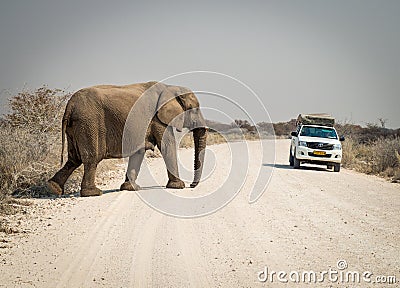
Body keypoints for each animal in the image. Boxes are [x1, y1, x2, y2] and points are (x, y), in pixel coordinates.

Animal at [47, 82, 206, 197]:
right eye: (194, 109)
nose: (192, 185)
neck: (171, 88)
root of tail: (70, 105)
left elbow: (139, 152)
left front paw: (130, 188)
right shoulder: (157, 119)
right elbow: (167, 146)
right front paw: (179, 186)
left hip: (75, 127)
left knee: (73, 158)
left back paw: (54, 188)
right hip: (88, 124)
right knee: (91, 159)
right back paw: (93, 193)